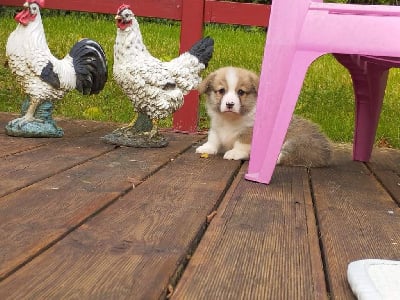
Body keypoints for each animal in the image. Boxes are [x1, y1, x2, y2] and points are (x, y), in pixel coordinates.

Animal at [196, 66, 332, 166]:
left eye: (241, 92)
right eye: (221, 91)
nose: (230, 104)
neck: (230, 119)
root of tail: (328, 150)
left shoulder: (248, 133)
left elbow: (241, 144)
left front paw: (235, 153)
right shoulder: (216, 128)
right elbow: (213, 139)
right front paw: (207, 148)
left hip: (298, 144)